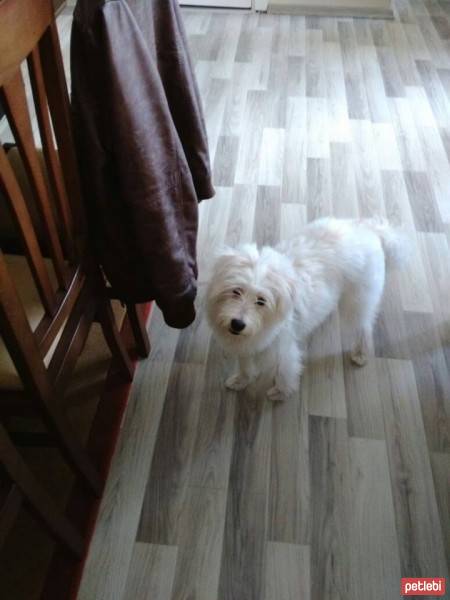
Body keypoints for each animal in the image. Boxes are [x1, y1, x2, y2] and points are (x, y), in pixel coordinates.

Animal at [207, 217, 408, 404]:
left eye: (261, 301)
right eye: (236, 291)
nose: (237, 324)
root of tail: (369, 230)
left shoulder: (283, 348)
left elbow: (285, 370)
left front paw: (281, 392)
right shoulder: (247, 342)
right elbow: (245, 365)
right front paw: (241, 380)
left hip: (357, 301)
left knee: (363, 327)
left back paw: (360, 353)